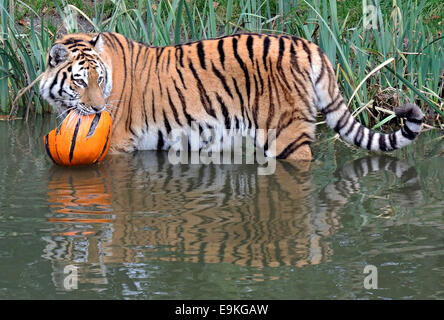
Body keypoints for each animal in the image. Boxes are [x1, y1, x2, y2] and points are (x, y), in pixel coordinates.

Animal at [39, 31, 424, 160]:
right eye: (79, 81)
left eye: (99, 80)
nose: (97, 108)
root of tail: (306, 43)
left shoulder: (118, 146)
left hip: (286, 134)